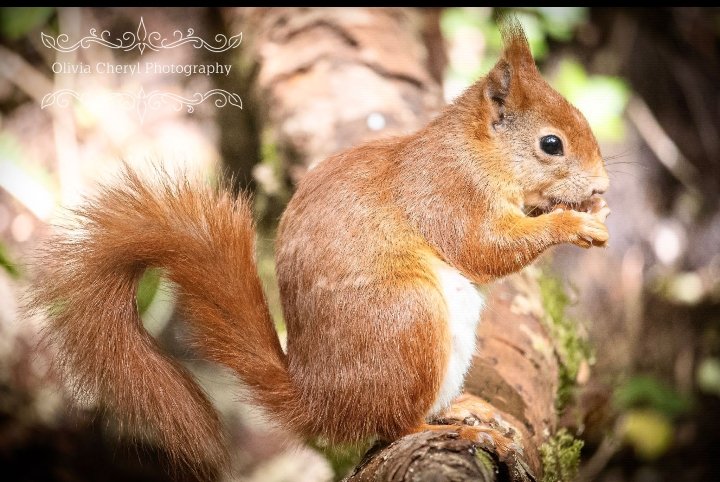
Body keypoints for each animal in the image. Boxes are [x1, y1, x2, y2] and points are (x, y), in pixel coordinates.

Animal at [31, 20, 612, 476]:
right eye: (551, 144)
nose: (603, 185)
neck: (475, 152)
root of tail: (322, 403)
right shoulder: (445, 193)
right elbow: (483, 249)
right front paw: (573, 223)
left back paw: (466, 408)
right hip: (409, 317)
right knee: (395, 425)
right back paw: (461, 433)